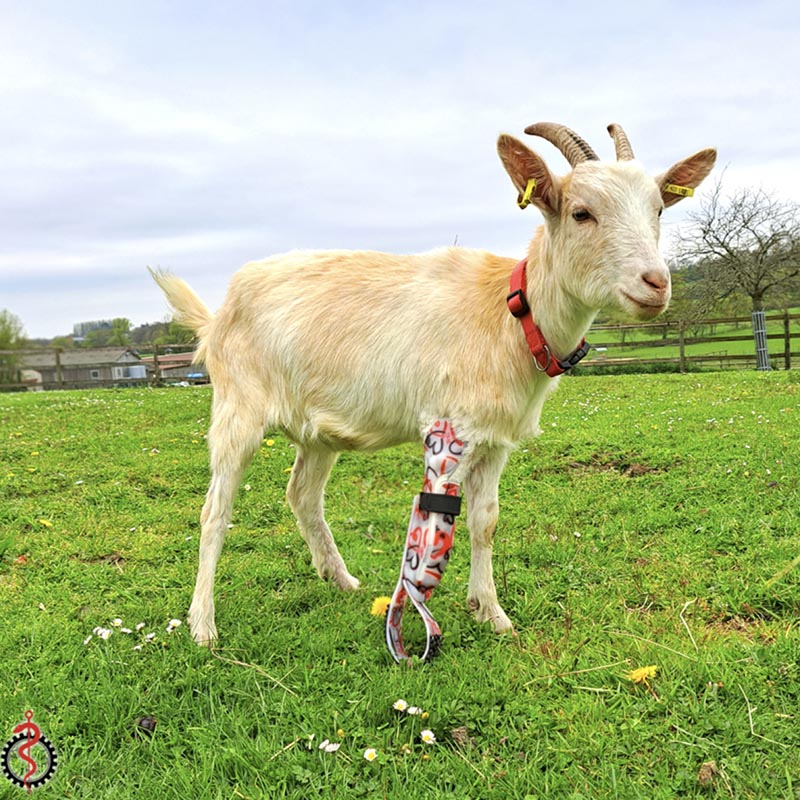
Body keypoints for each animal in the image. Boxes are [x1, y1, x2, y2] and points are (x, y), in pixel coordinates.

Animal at [151, 122, 716, 646]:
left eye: (658, 211)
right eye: (581, 213)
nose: (656, 283)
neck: (510, 314)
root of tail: (218, 313)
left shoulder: (495, 439)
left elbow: (485, 520)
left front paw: (491, 612)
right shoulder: (450, 430)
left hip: (317, 430)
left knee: (303, 495)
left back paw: (340, 578)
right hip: (238, 407)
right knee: (215, 511)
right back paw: (203, 625)